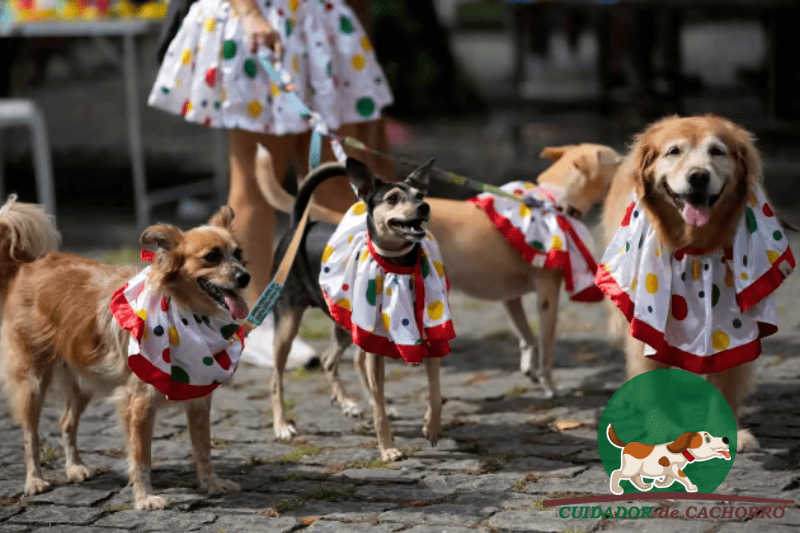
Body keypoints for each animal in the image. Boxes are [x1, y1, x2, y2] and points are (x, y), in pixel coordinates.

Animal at [0, 195, 247, 508]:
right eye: (212, 257)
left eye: (238, 253)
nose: (245, 277)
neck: (185, 311)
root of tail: (27, 266)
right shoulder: (138, 403)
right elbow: (141, 456)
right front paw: (144, 498)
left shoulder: (198, 400)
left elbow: (202, 449)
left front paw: (212, 484)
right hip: (33, 381)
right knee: (30, 435)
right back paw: (34, 480)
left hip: (84, 381)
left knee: (66, 422)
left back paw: (75, 467)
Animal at [604, 115, 764, 448]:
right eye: (674, 151)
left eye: (717, 151)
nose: (699, 177)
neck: (694, 247)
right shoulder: (647, 319)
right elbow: (653, 378)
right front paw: (663, 428)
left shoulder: (733, 320)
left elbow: (727, 379)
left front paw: (731, 432)